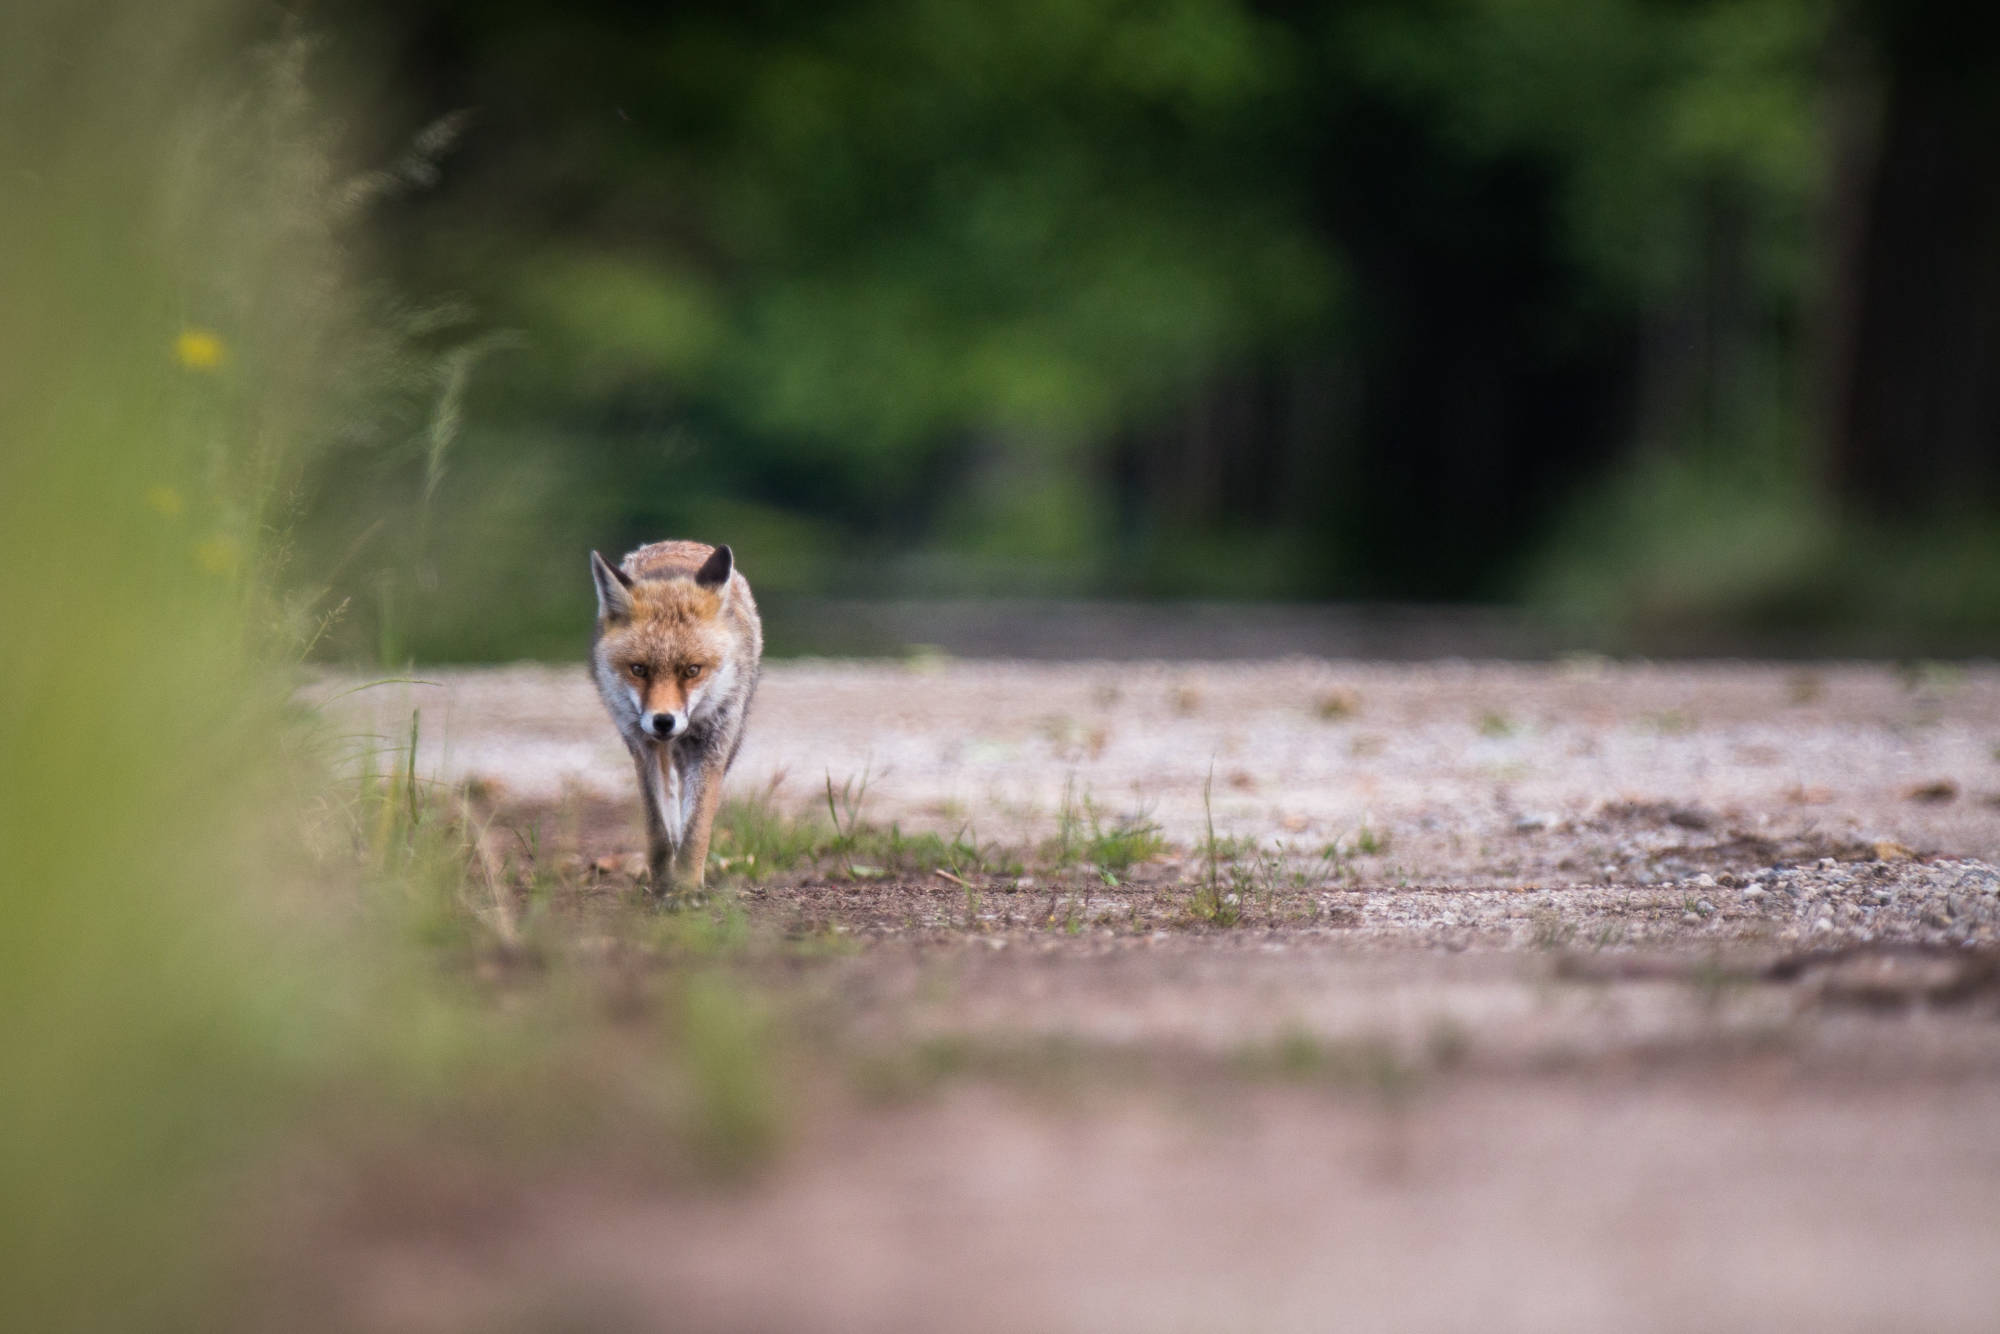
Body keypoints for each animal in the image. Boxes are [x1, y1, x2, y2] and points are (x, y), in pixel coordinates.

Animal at [588, 540, 760, 896]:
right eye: (639, 669)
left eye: (692, 670)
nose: (663, 721)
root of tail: (678, 544)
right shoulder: (644, 748)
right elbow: (658, 830)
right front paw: (663, 885)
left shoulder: (711, 748)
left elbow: (696, 830)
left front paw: (686, 889)